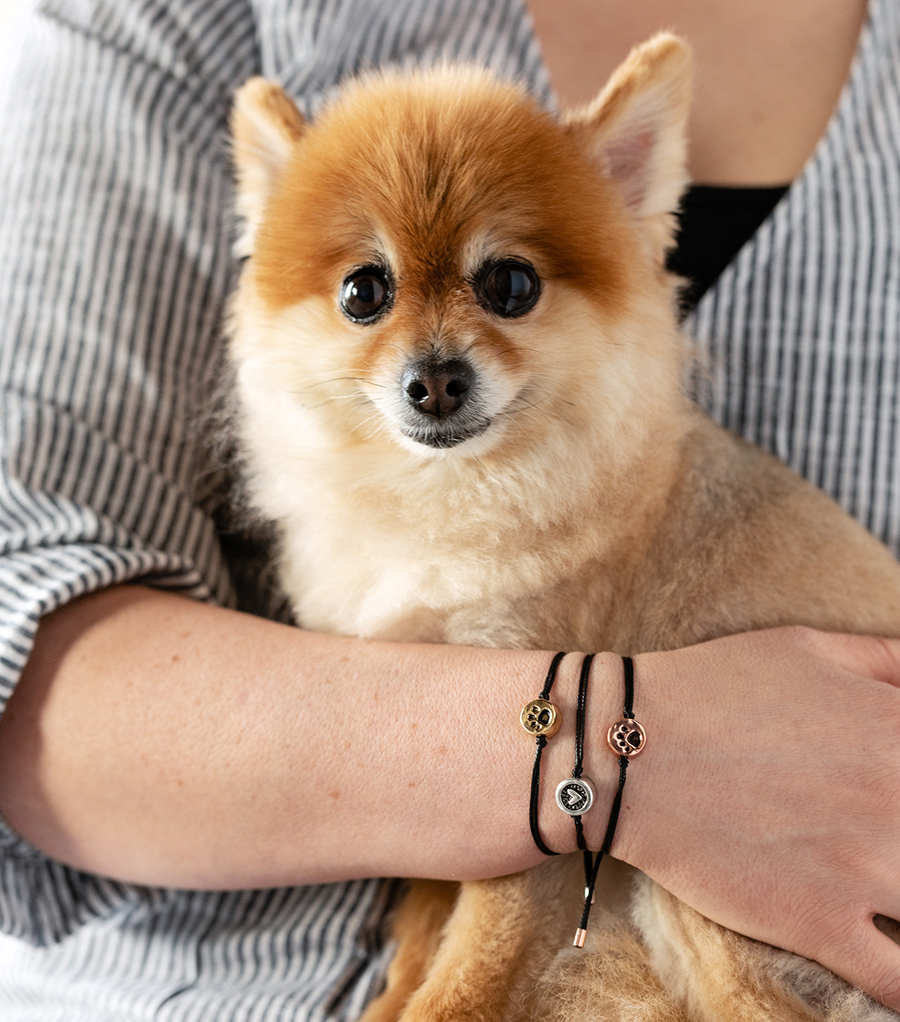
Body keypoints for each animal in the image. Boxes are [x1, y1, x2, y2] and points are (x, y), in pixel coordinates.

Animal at [224, 31, 898, 1021]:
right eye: (363, 292)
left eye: (510, 284)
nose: (435, 379)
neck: (448, 502)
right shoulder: (437, 818)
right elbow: (423, 927)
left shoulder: (525, 831)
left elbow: (462, 982)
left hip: (711, 898)